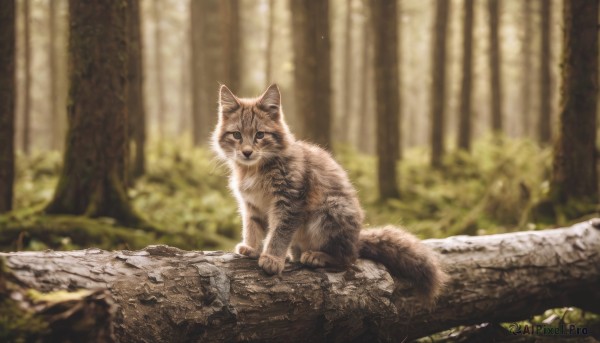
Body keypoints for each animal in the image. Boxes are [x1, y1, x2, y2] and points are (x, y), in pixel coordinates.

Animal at [211, 84, 446, 302]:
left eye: (260, 135)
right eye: (237, 135)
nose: (247, 152)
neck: (254, 169)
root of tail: (356, 239)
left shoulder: (290, 201)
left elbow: (279, 233)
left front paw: (272, 258)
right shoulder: (252, 205)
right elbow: (253, 228)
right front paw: (252, 248)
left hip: (331, 209)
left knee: (348, 258)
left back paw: (318, 256)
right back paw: (296, 255)